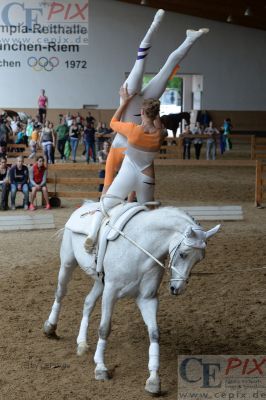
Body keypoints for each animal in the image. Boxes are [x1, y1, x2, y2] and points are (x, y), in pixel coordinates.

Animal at [43, 206, 218, 394]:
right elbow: (104, 329)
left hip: (99, 282)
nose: (177, 289)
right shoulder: (110, 292)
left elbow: (154, 333)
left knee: (88, 303)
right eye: (183, 254)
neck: (142, 249)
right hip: (68, 264)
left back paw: (81, 343)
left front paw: (153, 379)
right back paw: (50, 328)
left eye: (199, 259)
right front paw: (100, 368)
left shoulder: (147, 299)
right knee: (60, 293)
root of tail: (83, 207)